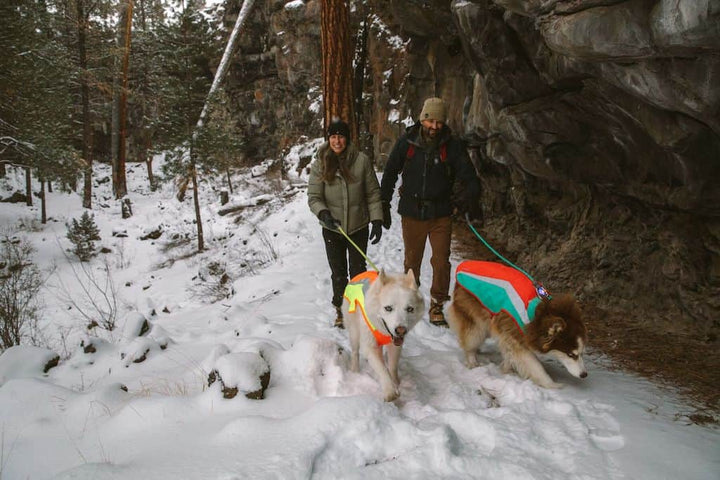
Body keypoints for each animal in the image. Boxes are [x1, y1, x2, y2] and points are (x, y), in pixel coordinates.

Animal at [448, 260, 588, 388]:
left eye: (581, 353)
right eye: (571, 354)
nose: (584, 375)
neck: (538, 315)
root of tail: (464, 264)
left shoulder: (510, 334)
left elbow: (510, 352)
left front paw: (506, 369)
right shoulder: (515, 335)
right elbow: (533, 364)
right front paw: (551, 384)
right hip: (476, 322)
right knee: (471, 338)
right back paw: (472, 360)